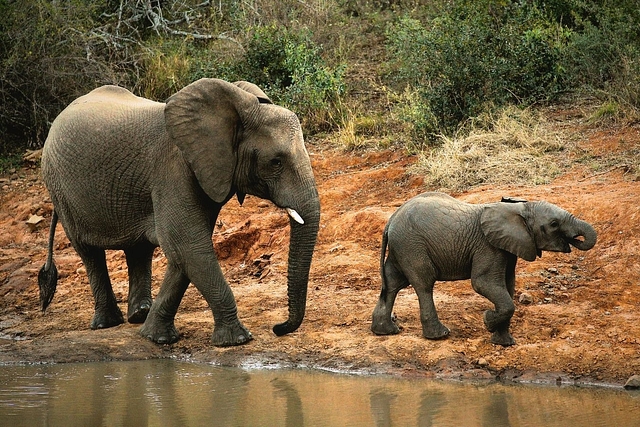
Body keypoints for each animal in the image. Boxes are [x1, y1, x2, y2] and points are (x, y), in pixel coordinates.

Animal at [38, 79, 320, 348]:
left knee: (138, 249)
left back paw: (139, 315)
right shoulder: (174, 169)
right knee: (89, 253)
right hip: (59, 190)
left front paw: (155, 337)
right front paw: (236, 340)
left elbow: (184, 253)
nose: (278, 328)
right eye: (276, 162)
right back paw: (107, 323)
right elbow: (188, 245)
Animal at [372, 192, 596, 346]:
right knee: (424, 284)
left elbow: (508, 286)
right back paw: (440, 335)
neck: (519, 209)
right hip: (412, 246)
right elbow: (483, 283)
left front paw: (504, 343)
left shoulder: (508, 248)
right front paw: (488, 320)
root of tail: (391, 220)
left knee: (392, 284)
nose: (575, 240)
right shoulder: (488, 246)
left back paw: (386, 331)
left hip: (402, 247)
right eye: (554, 224)